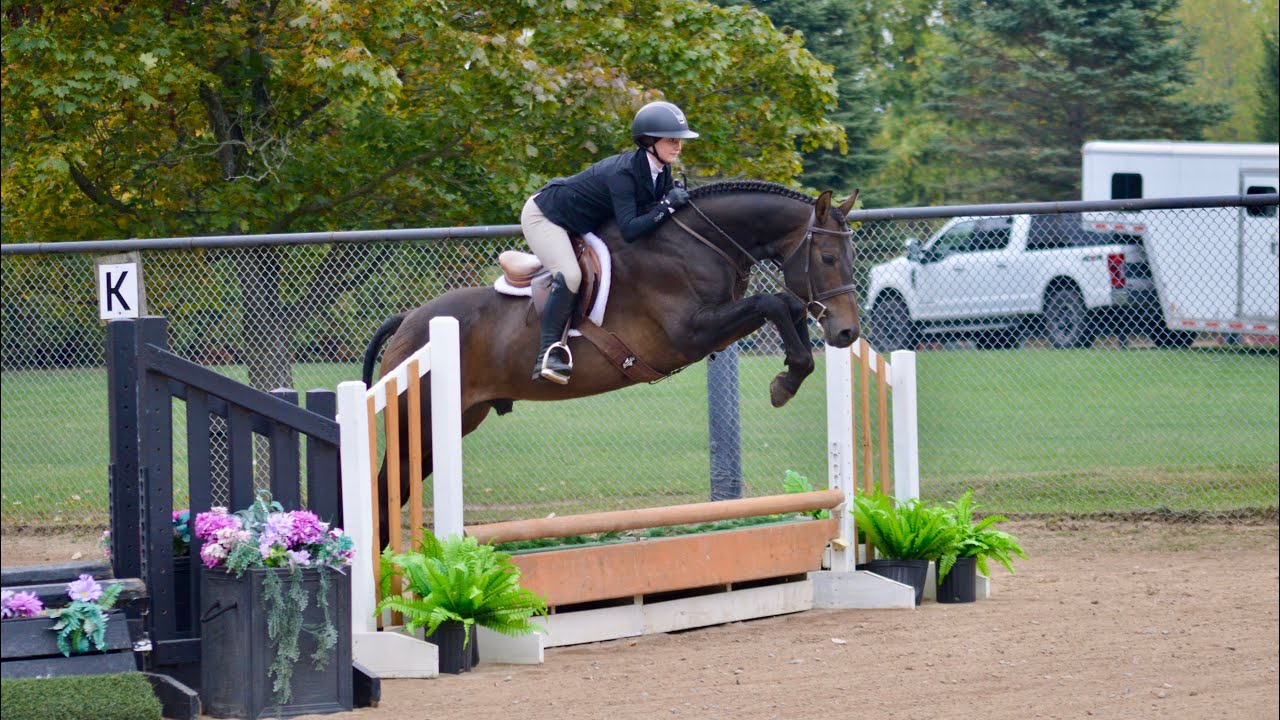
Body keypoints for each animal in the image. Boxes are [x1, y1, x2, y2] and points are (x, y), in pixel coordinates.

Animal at [362, 180, 862, 547]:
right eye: (828, 257)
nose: (846, 333)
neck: (697, 244)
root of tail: (410, 319)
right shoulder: (690, 334)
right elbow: (772, 301)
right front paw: (786, 382)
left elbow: (786, 304)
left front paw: (791, 372)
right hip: (416, 422)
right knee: (383, 493)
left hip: (454, 423)